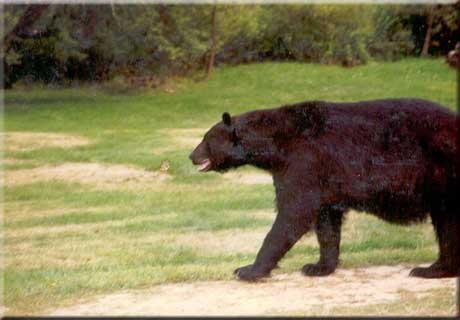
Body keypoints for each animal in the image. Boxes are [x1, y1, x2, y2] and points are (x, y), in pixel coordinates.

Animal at [189, 99, 458, 282]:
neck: (276, 143)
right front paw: (318, 267)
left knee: (448, 224)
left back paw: (432, 269)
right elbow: (326, 222)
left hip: (443, 172)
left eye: (206, 139)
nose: (191, 155)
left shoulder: (304, 162)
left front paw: (248, 270)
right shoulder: (323, 181)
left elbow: (293, 214)